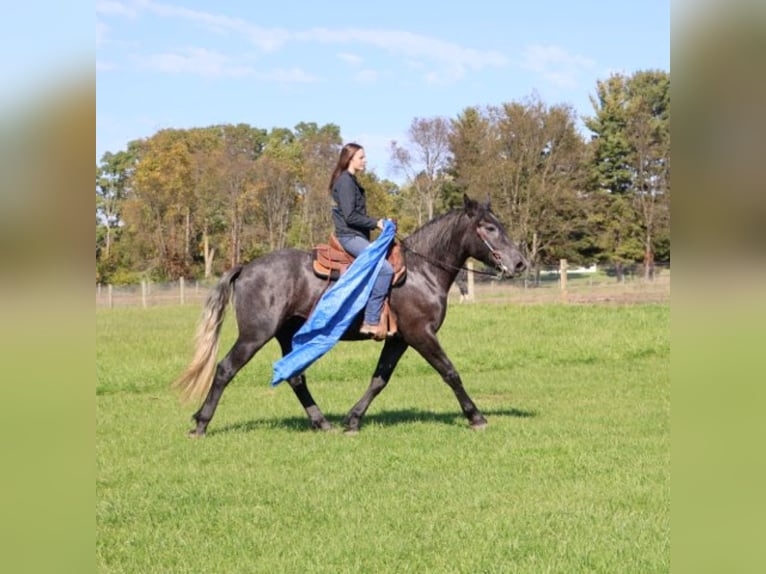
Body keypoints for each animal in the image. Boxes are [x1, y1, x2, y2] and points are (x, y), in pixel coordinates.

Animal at [173, 194, 527, 435]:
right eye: (490, 227)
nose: (520, 263)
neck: (421, 270)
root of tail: (246, 268)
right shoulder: (421, 334)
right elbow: (450, 372)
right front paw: (476, 417)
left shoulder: (399, 340)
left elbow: (379, 380)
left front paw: (353, 419)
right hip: (254, 335)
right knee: (225, 369)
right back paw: (201, 424)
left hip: (287, 335)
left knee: (295, 377)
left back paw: (321, 422)